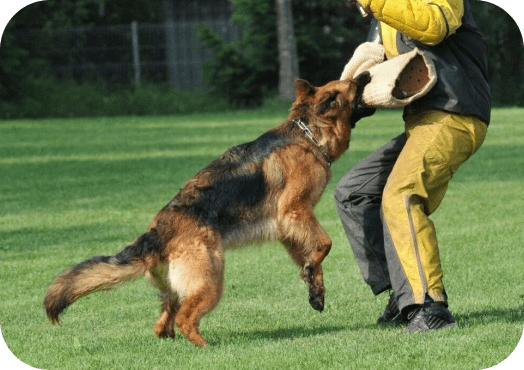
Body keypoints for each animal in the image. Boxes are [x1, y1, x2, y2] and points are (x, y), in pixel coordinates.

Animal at [46, 71, 372, 346]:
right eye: (351, 84)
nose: (367, 73)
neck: (308, 134)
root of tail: (156, 233)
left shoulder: (290, 227)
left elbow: (311, 258)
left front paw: (314, 287)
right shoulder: (295, 210)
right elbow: (325, 244)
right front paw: (313, 271)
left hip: (179, 288)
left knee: (163, 321)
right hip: (210, 281)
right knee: (184, 318)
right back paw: (205, 347)